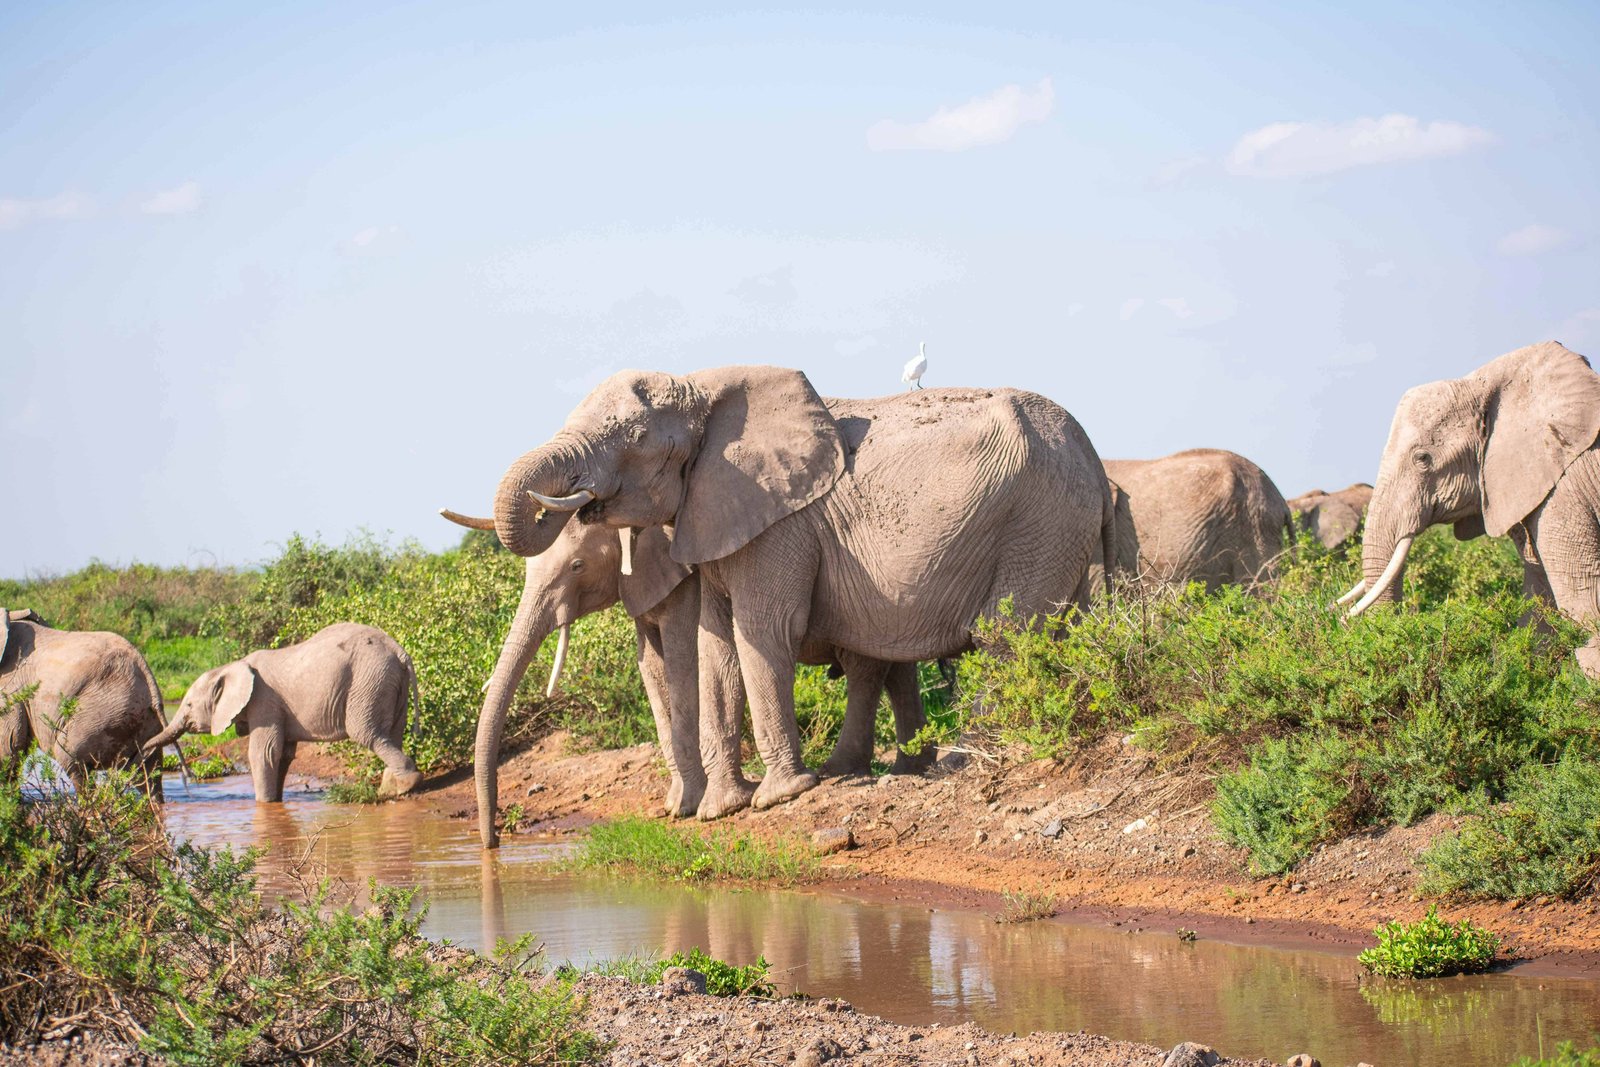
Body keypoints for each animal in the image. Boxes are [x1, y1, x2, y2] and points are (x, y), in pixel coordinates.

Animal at [0, 608, 168, 796]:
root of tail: (149, 679)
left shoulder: (11, 688)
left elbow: (8, 748)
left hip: (103, 713)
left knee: (70, 758)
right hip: (142, 722)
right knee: (147, 775)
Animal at [142, 622, 422, 802]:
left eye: (189, 705)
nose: (142, 751)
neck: (232, 666)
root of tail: (400, 652)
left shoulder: (263, 701)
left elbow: (263, 752)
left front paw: (264, 805)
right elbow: (283, 755)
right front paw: (276, 801)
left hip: (369, 681)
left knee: (366, 732)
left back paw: (406, 784)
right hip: (387, 682)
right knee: (394, 731)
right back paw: (392, 789)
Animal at [437, 508, 930, 847]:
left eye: (577, 567)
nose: (493, 843)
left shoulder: (685, 582)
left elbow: (681, 659)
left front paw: (691, 806)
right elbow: (650, 667)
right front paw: (675, 807)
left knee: (867, 665)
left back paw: (854, 770)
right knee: (895, 665)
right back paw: (912, 768)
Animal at [487, 366, 1112, 824]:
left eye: (637, 439)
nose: (493, 836)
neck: (704, 388)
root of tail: (1093, 454)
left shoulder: (780, 526)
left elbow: (762, 633)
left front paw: (779, 797)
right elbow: (718, 648)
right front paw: (721, 811)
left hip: (1040, 519)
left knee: (1004, 635)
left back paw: (960, 763)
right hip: (1060, 528)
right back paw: (870, 770)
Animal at [1340, 340, 1600, 678]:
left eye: (1422, 458)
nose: (1341, 619)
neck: (1481, 382)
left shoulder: (1565, 490)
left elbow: (1582, 594)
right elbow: (1538, 597)